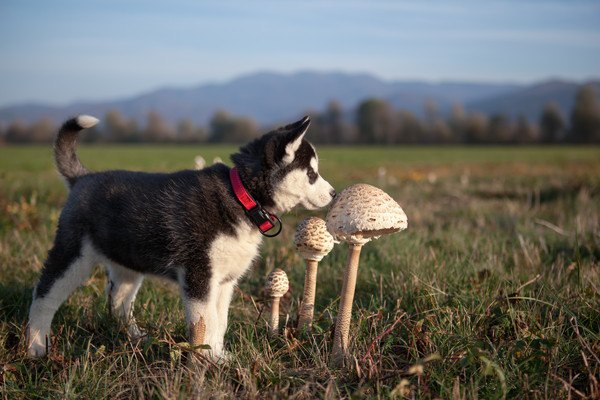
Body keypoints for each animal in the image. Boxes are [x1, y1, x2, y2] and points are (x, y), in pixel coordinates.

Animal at [27, 114, 338, 358]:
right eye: (311, 174)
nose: (335, 193)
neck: (242, 197)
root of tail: (83, 178)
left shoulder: (224, 281)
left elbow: (219, 322)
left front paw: (219, 356)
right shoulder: (199, 274)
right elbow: (206, 322)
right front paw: (207, 361)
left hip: (128, 261)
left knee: (118, 301)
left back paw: (135, 336)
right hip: (72, 253)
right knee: (44, 295)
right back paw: (36, 346)